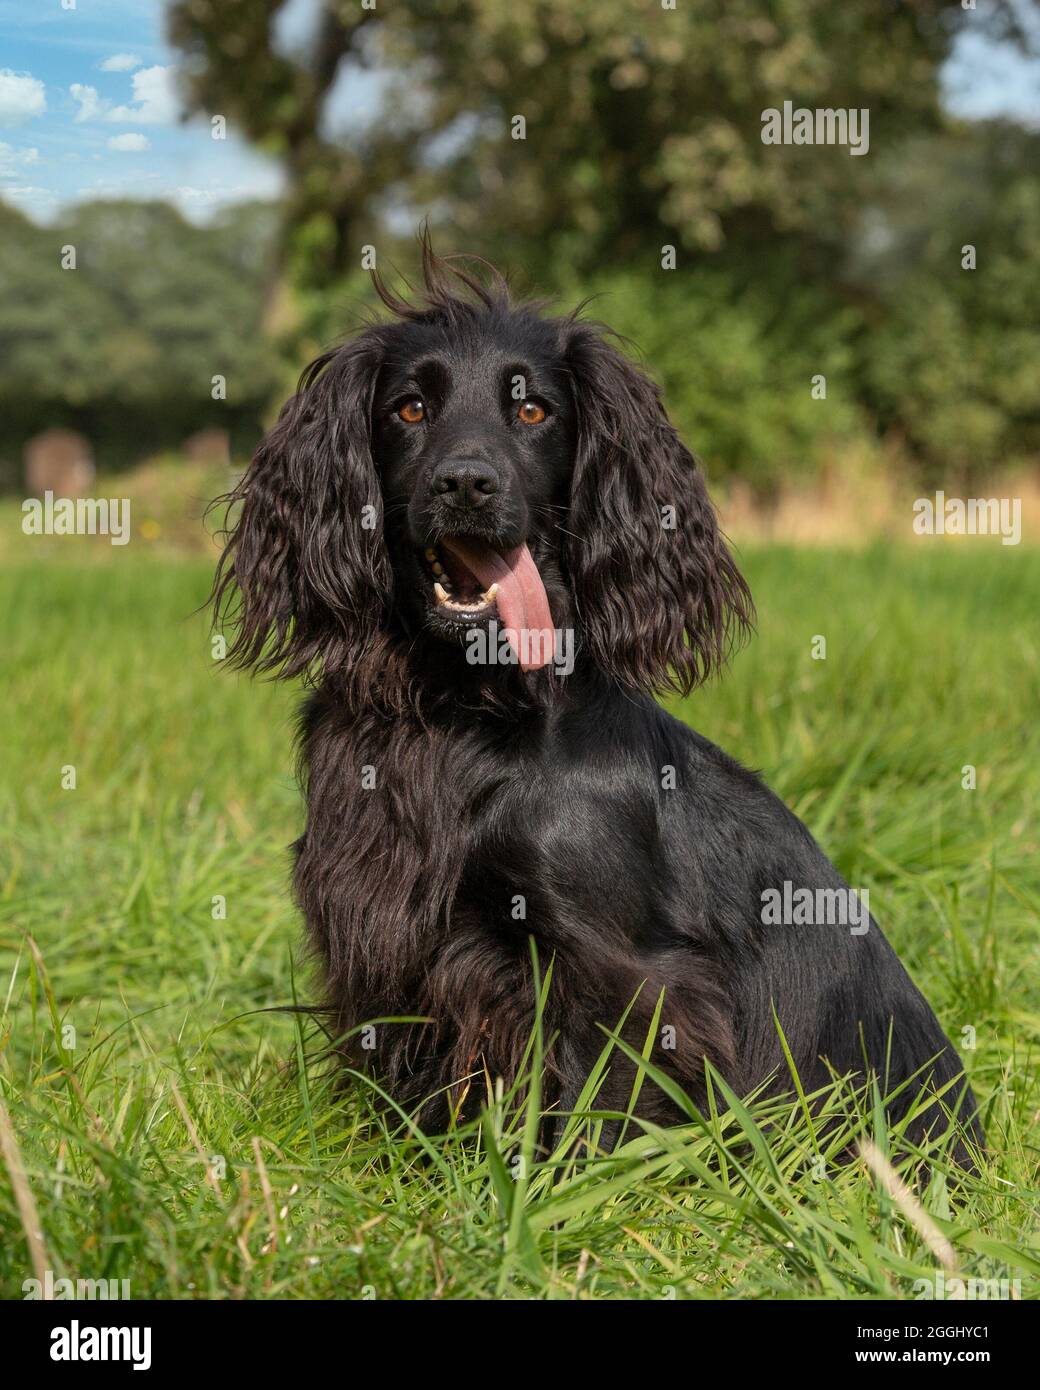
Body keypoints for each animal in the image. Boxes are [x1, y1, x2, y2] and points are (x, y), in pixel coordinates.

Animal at [215, 244, 978, 1156]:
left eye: (533, 409)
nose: (465, 483)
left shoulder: (621, 972)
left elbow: (598, 1113)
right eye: (409, 407)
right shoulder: (377, 922)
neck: (462, 710)